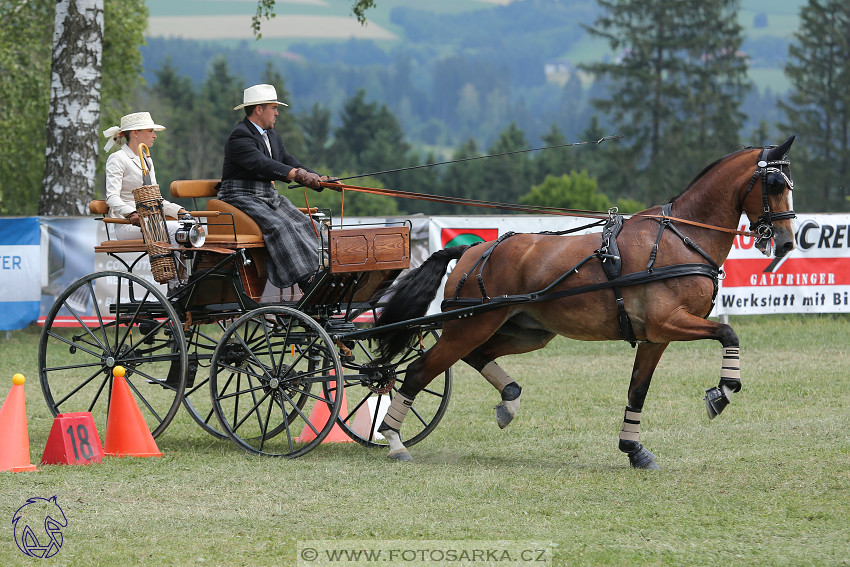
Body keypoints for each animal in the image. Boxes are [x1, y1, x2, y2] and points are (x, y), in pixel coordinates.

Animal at [370, 135, 796, 468]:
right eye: (775, 183)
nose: (787, 242)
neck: (682, 238)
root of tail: (473, 249)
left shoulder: (655, 337)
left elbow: (637, 390)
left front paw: (634, 449)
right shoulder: (668, 321)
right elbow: (728, 333)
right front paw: (721, 393)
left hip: (524, 331)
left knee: (477, 356)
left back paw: (509, 402)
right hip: (470, 325)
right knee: (420, 370)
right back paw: (393, 440)